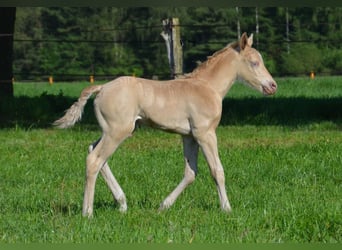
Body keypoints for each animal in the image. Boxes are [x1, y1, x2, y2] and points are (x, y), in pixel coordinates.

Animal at [54, 33, 276, 217]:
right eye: (254, 62)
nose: (272, 86)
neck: (207, 87)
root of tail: (101, 88)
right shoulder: (205, 133)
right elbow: (217, 170)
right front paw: (227, 209)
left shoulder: (189, 136)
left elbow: (191, 173)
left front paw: (163, 206)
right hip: (117, 132)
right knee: (94, 160)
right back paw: (88, 213)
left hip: (115, 131)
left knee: (95, 152)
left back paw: (122, 203)